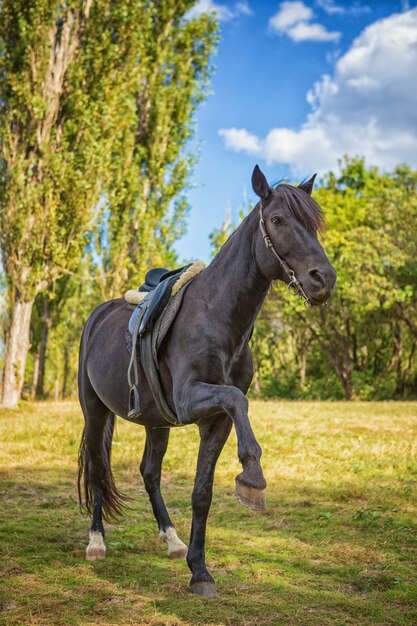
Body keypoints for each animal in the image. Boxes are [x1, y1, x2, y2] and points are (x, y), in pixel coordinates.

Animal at [77, 165, 334, 596]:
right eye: (278, 220)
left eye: (314, 225)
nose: (324, 278)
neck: (217, 316)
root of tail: (97, 315)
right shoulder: (191, 399)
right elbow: (236, 398)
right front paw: (253, 476)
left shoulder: (214, 422)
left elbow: (202, 493)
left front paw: (199, 570)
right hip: (95, 412)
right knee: (98, 469)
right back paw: (97, 542)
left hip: (156, 422)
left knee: (150, 473)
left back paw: (173, 540)